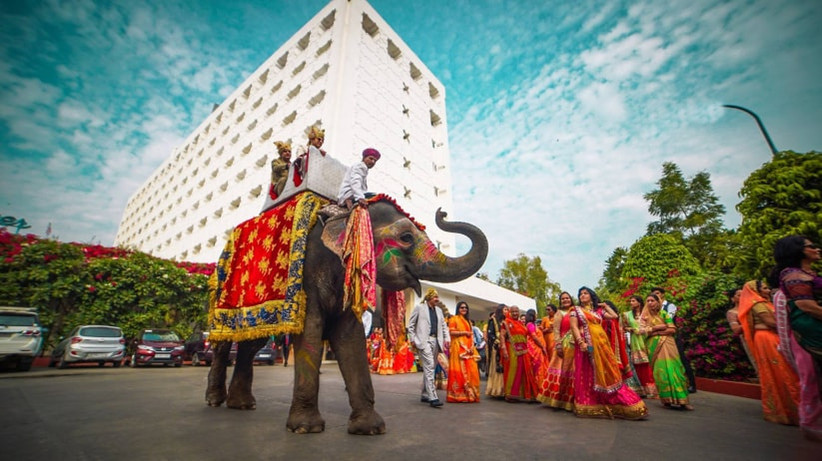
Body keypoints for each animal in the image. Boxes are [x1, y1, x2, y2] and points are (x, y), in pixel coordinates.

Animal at [206, 199, 490, 434]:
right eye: (407, 237)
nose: (442, 213)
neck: (346, 214)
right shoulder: (307, 275)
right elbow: (310, 330)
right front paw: (305, 428)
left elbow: (348, 337)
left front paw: (371, 429)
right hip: (223, 290)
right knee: (224, 342)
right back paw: (215, 400)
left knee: (251, 343)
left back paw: (242, 405)